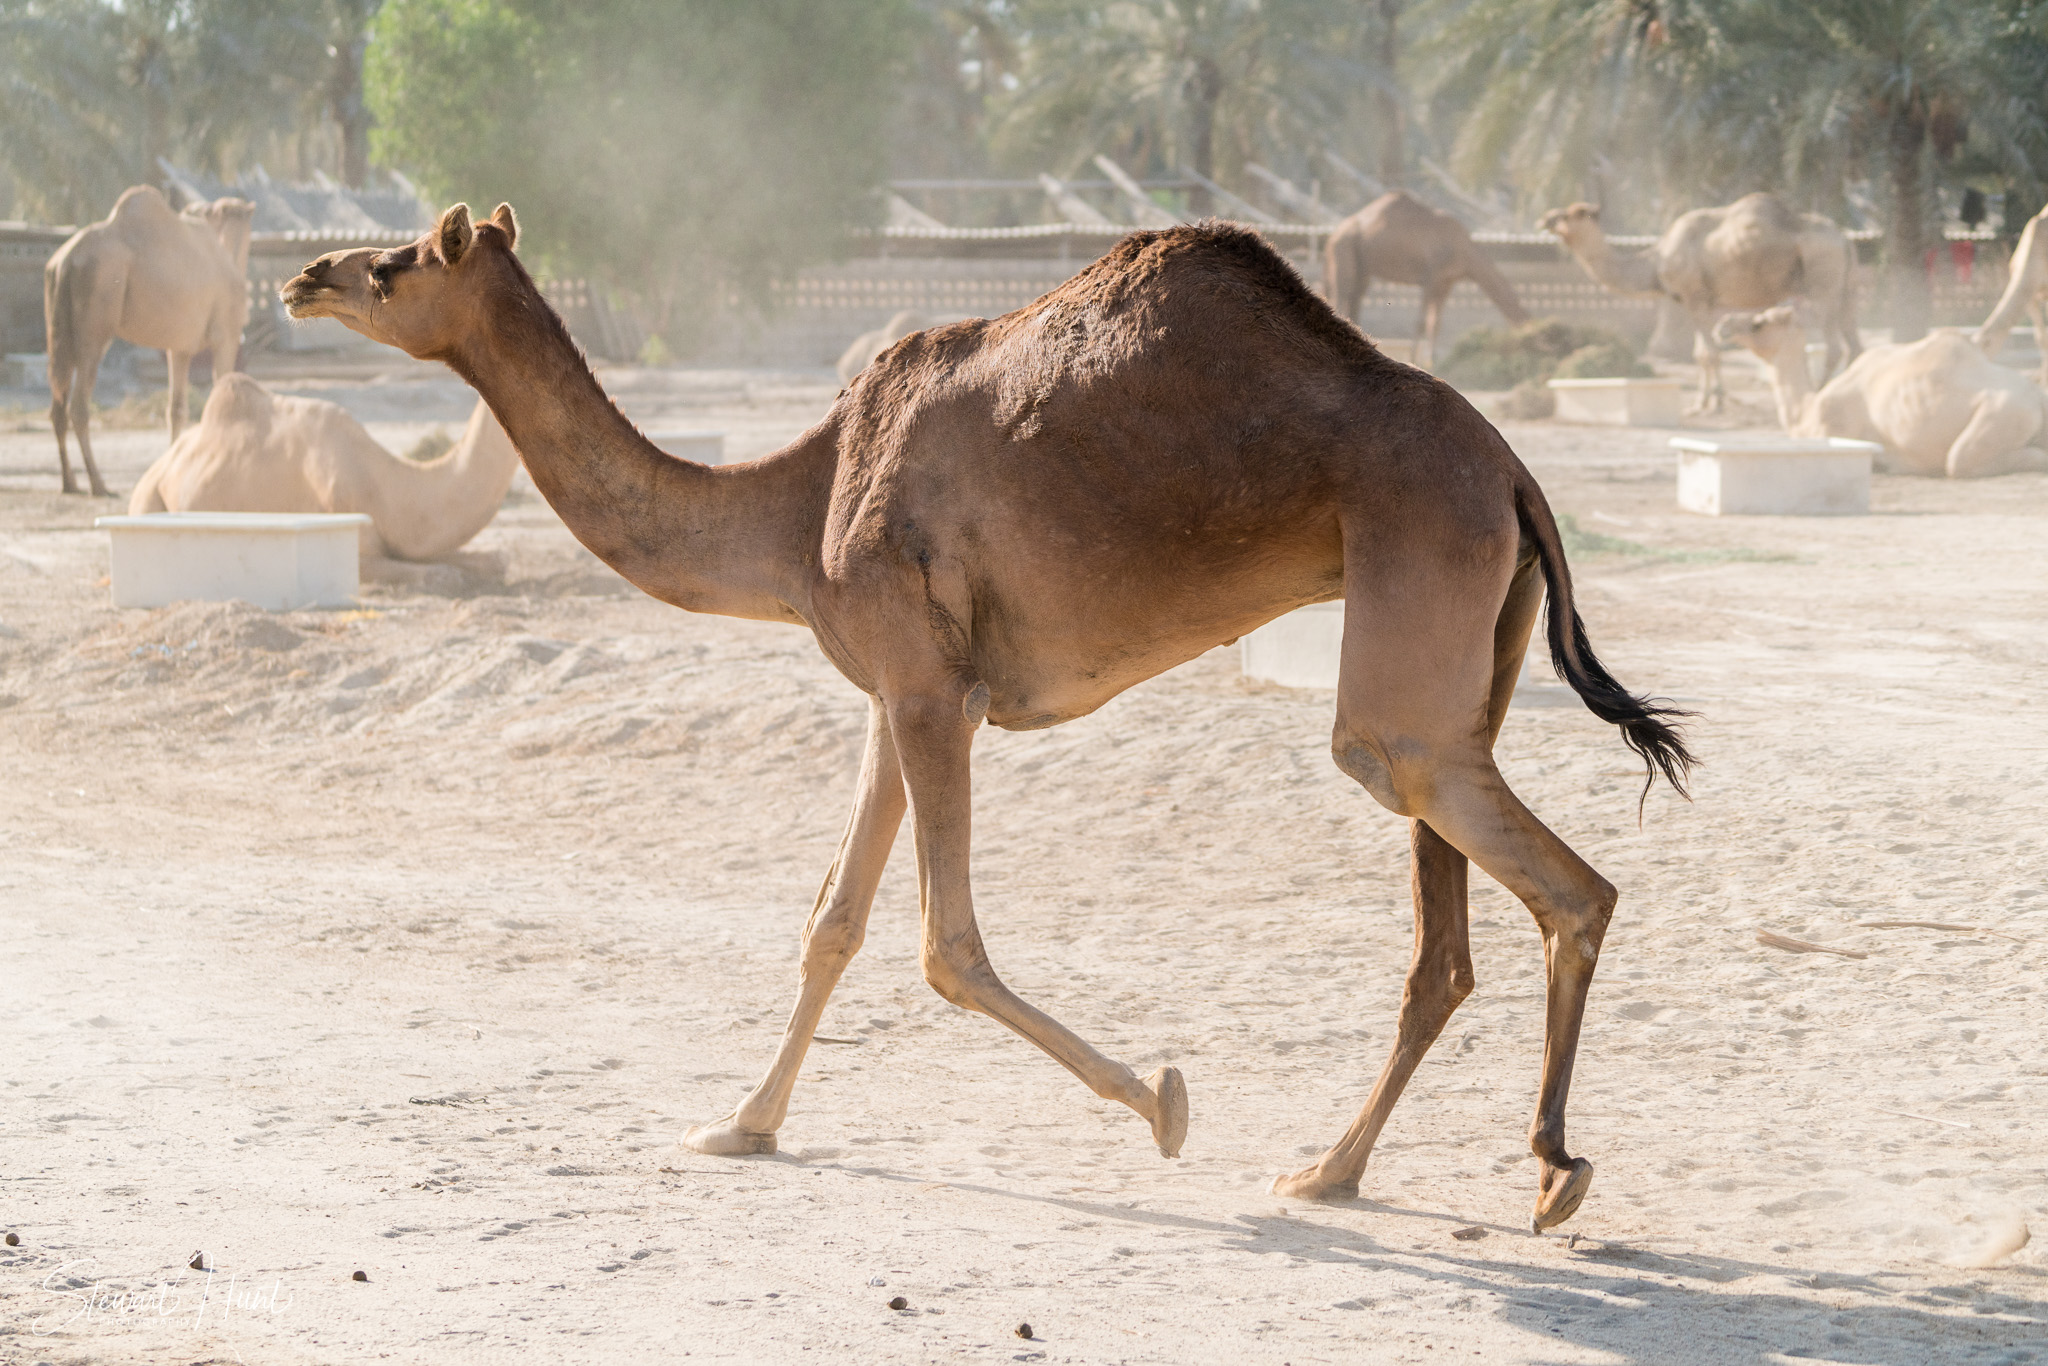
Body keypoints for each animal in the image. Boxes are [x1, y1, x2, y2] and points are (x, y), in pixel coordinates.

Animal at [43, 185, 256, 497]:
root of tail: (65, 262)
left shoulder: (179, 347)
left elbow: (176, 409)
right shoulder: (225, 337)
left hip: (59, 332)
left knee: (58, 404)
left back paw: (70, 483)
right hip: (94, 327)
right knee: (79, 406)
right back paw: (99, 484)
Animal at [1323, 191, 1528, 372]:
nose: (1525, 345)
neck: (1464, 249)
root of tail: (1332, 237)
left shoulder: (1446, 282)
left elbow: (1435, 323)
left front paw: (1433, 359)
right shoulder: (1431, 277)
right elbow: (1421, 321)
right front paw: (1418, 359)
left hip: (1363, 267)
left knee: (1354, 300)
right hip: (1344, 252)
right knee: (1341, 295)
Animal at [1538, 193, 1859, 415]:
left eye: (1572, 214)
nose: (1545, 218)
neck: (1655, 261)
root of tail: (1844, 239)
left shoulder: (1695, 300)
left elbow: (1709, 354)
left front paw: (1711, 403)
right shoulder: (1694, 303)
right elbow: (1700, 354)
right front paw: (1703, 402)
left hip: (1823, 279)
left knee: (1833, 345)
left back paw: (1821, 392)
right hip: (1846, 289)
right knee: (1854, 344)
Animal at [1716, 306, 2048, 478]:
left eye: (1759, 323)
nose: (1723, 323)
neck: (1806, 411)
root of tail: (2038, 401)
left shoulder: (1834, 429)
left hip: (2002, 414)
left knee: (1959, 462)